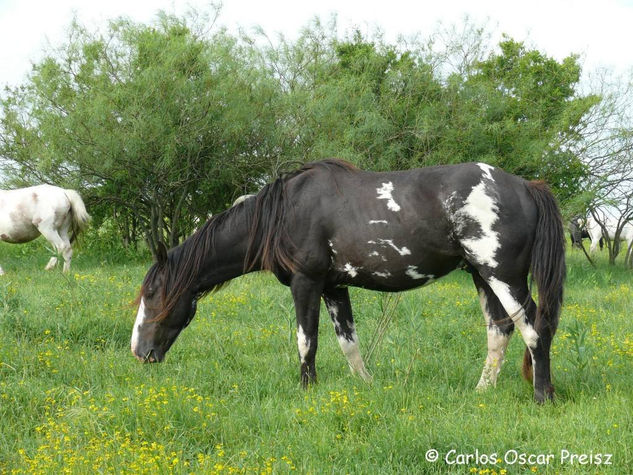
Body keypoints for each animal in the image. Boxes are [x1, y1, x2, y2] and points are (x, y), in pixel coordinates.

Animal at [131, 159, 564, 402]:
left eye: (152, 293)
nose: (139, 352)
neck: (283, 212)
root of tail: (525, 186)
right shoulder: (334, 287)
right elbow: (348, 343)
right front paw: (365, 387)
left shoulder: (306, 283)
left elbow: (306, 341)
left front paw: (306, 390)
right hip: (481, 276)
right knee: (500, 331)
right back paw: (482, 391)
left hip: (503, 276)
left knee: (534, 330)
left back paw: (543, 396)